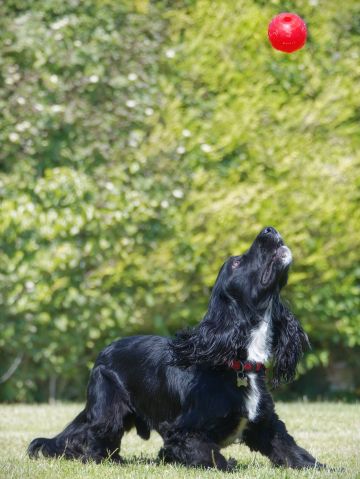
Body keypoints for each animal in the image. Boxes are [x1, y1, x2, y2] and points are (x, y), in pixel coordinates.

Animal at [28, 227, 324, 470]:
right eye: (237, 262)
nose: (269, 229)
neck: (236, 361)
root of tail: (104, 351)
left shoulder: (267, 424)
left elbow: (292, 450)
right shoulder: (181, 433)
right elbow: (213, 456)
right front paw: (228, 463)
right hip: (108, 409)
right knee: (93, 441)